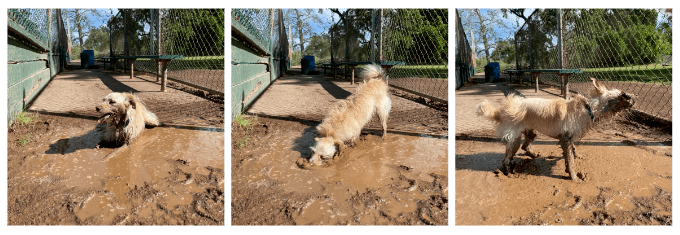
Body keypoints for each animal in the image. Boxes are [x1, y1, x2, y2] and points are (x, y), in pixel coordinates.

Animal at [480, 78, 636, 181]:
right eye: (624, 95)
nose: (636, 96)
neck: (589, 109)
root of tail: (502, 110)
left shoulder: (569, 138)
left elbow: (573, 152)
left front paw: (577, 156)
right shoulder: (566, 139)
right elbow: (570, 161)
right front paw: (574, 177)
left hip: (531, 133)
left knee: (525, 147)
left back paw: (534, 155)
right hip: (514, 140)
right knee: (506, 160)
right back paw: (508, 173)